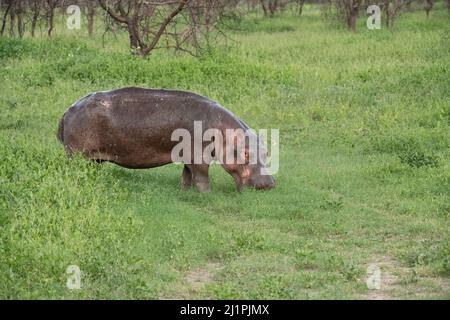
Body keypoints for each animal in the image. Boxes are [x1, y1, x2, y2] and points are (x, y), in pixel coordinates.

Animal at [56, 86, 274, 191]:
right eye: (246, 153)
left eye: (266, 152)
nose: (270, 183)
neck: (222, 129)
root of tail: (67, 110)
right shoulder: (199, 157)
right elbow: (202, 177)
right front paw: (207, 194)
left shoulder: (189, 155)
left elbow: (187, 175)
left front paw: (184, 191)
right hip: (76, 155)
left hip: (93, 159)